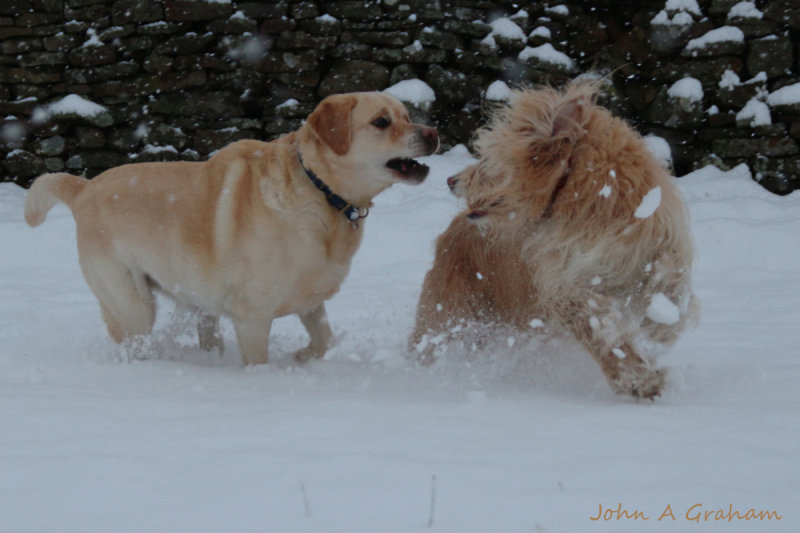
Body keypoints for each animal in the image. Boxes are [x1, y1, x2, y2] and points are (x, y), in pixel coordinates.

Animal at [26, 91, 438, 366]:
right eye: (382, 122)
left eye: (407, 114)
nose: (433, 133)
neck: (319, 191)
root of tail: (84, 187)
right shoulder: (252, 315)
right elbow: (258, 360)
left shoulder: (310, 300)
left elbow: (324, 338)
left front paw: (302, 356)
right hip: (132, 304)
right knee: (133, 341)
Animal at [410, 82, 696, 400]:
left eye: (486, 159)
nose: (450, 180)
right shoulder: (564, 286)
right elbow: (598, 329)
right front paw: (636, 379)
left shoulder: (657, 240)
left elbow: (670, 274)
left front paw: (663, 322)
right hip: (450, 312)